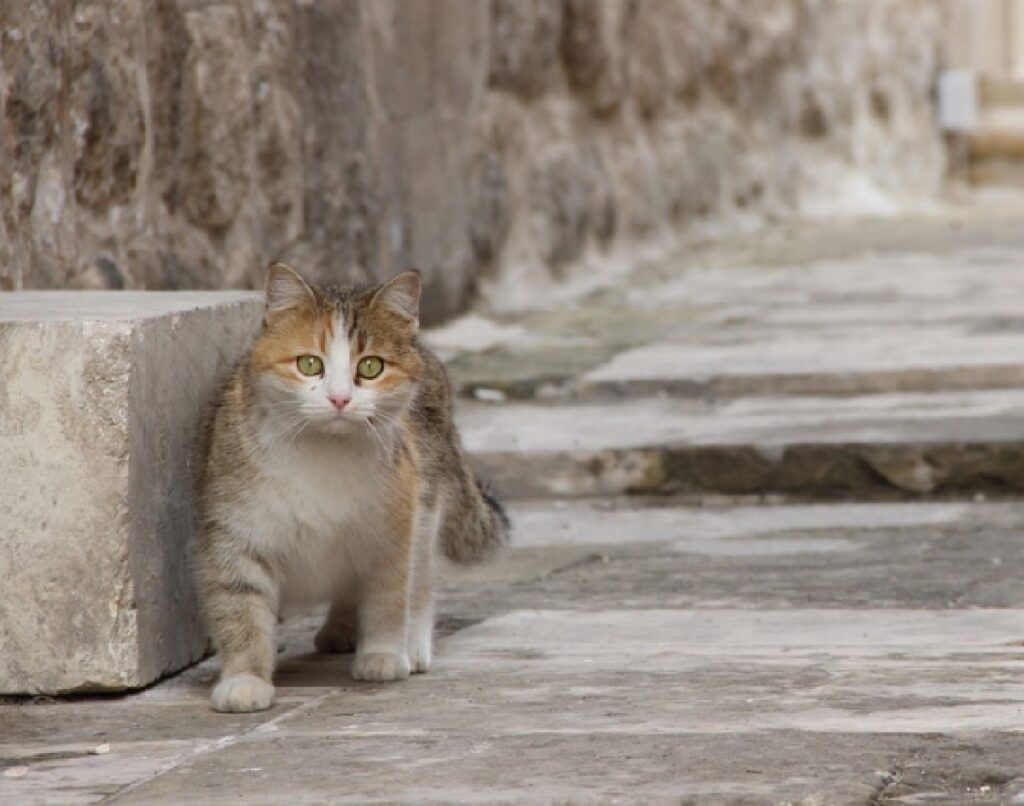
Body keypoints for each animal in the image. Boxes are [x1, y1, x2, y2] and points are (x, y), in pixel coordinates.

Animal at [193, 264, 509, 712]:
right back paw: (340, 629)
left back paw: (410, 643)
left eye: (371, 367)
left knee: (421, 578)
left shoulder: (393, 528)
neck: (324, 452)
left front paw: (383, 655)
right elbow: (240, 609)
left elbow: (388, 595)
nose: (340, 398)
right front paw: (245, 679)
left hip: (427, 501)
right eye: (309, 364)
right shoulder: (237, 531)